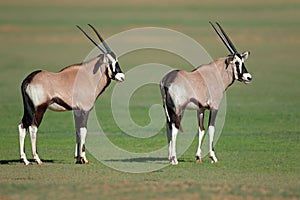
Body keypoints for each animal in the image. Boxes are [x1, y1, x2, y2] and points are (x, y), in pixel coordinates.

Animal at [17, 24, 125, 165]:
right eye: (112, 63)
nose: (122, 77)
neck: (88, 76)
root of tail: (29, 79)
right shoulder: (84, 110)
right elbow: (83, 131)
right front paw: (84, 158)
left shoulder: (76, 110)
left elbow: (77, 131)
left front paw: (77, 158)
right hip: (40, 108)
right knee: (33, 127)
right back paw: (37, 159)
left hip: (29, 108)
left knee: (22, 125)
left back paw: (25, 159)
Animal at [161, 21, 252, 165]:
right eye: (237, 62)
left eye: (243, 62)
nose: (248, 77)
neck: (216, 73)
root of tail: (167, 81)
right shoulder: (214, 107)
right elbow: (211, 128)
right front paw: (213, 157)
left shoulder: (201, 109)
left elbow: (201, 129)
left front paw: (198, 157)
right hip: (179, 109)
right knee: (174, 128)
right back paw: (174, 159)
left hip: (168, 111)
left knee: (168, 127)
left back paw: (170, 157)